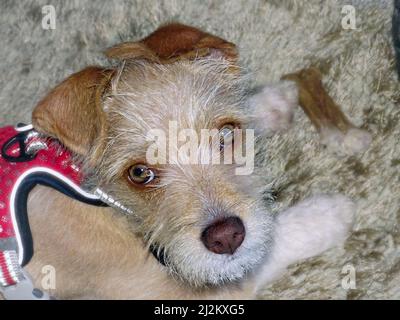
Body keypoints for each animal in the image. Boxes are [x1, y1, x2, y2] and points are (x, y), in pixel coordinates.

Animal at [7, 23, 354, 298]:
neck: (99, 197)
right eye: (139, 173)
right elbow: (266, 248)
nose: (225, 237)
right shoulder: (179, 290)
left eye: (227, 134)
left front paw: (273, 101)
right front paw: (326, 213)